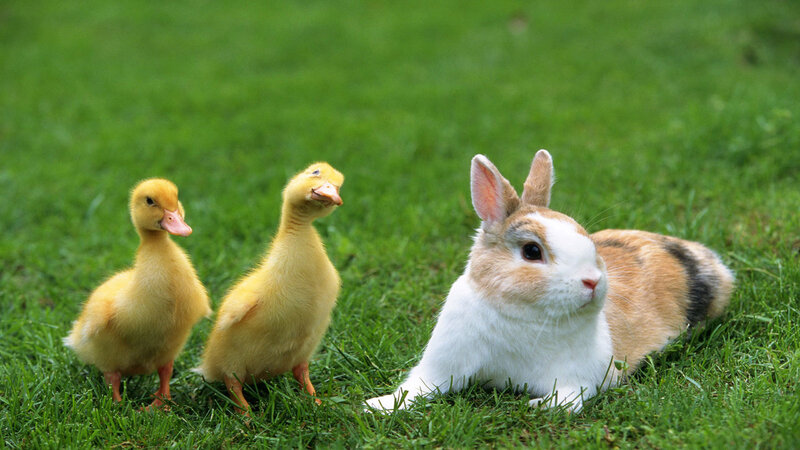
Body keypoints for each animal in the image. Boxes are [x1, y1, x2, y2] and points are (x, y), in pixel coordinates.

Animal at [365, 150, 734, 413]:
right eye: (532, 251)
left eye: (586, 237)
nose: (593, 281)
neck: (521, 314)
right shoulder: (442, 364)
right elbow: (417, 387)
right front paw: (377, 406)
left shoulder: (581, 376)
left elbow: (569, 398)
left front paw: (539, 405)